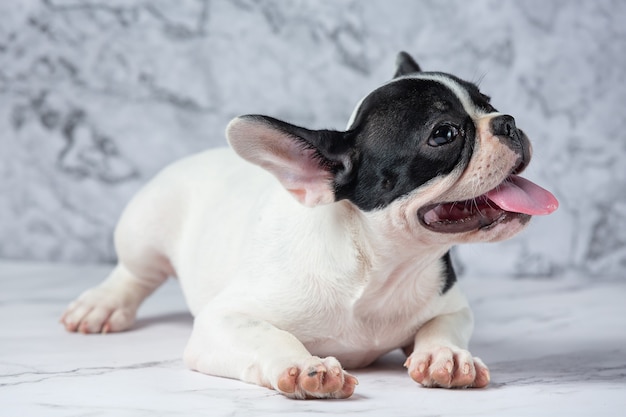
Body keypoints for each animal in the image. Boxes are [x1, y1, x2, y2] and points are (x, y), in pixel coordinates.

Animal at [62, 51, 556, 396]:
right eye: (444, 134)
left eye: (489, 103)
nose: (508, 122)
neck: (376, 268)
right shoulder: (224, 321)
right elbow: (267, 336)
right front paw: (302, 366)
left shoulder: (450, 304)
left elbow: (441, 326)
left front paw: (446, 356)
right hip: (145, 229)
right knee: (134, 273)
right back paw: (103, 303)